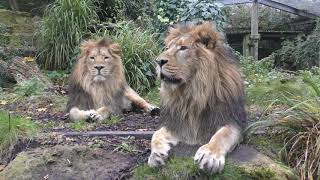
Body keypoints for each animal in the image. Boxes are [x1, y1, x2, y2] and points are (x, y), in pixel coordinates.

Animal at [148, 21, 248, 174]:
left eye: (183, 48)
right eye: (167, 48)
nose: (158, 61)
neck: (192, 93)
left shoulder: (233, 120)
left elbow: (221, 135)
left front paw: (209, 155)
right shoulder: (177, 123)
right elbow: (156, 134)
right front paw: (156, 155)